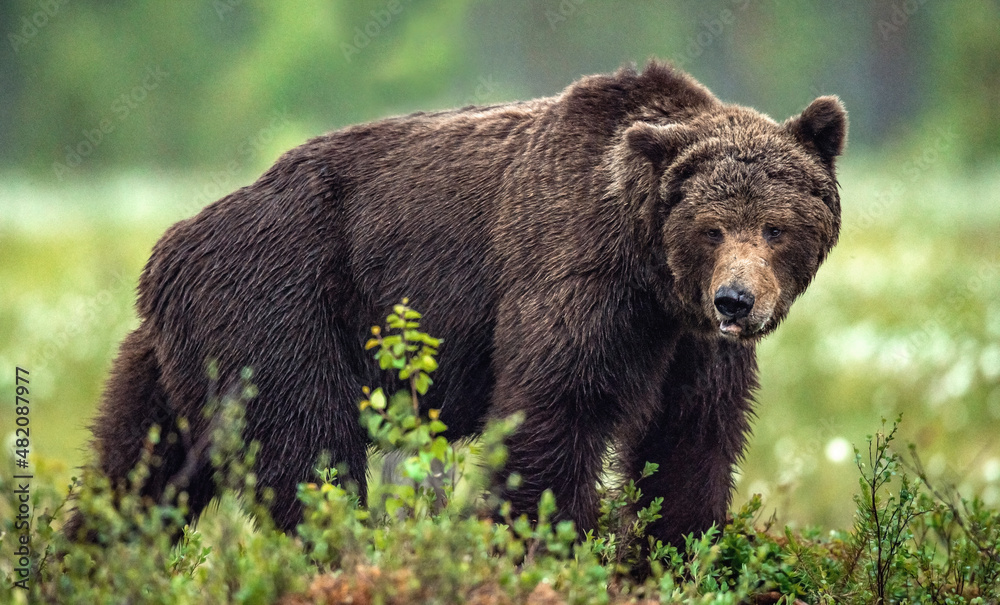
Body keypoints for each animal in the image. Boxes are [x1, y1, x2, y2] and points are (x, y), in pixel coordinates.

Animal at [74, 61, 848, 548]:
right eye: (711, 226)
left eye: (775, 226)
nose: (736, 301)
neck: (652, 275)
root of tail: (169, 246)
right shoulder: (575, 280)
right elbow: (555, 416)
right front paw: (539, 545)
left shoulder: (688, 344)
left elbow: (691, 438)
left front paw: (677, 546)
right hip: (277, 309)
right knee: (308, 452)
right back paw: (344, 551)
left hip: (176, 354)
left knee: (138, 465)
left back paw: (91, 553)